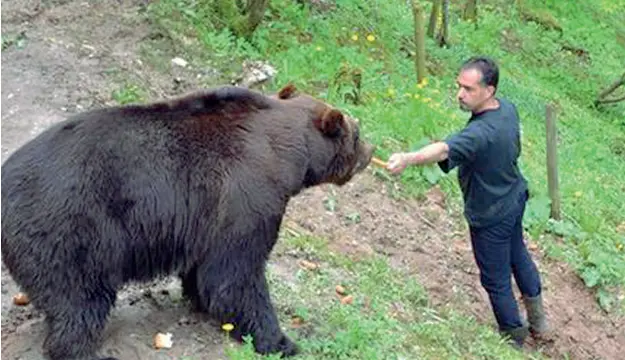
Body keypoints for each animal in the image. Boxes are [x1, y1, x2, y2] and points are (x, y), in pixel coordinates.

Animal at [2, 83, 372, 360]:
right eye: (356, 133)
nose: (370, 152)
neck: (287, 157)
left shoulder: (207, 219)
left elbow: (205, 270)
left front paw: (202, 302)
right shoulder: (248, 198)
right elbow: (237, 275)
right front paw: (281, 341)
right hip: (72, 228)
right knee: (80, 298)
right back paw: (87, 351)